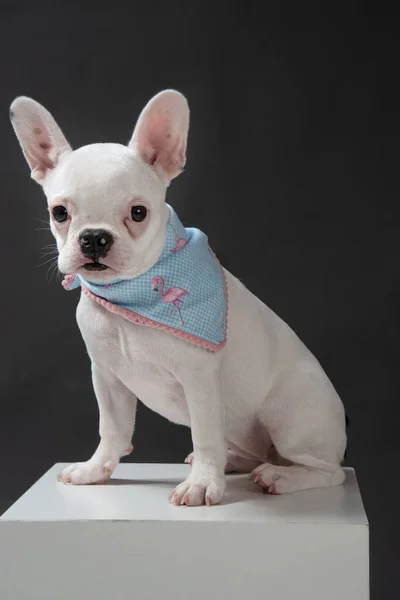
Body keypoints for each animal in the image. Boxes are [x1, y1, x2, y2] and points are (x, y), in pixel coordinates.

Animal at [9, 91, 346, 506]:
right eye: (59, 213)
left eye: (138, 212)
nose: (94, 238)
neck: (130, 298)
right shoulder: (106, 376)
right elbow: (112, 429)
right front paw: (95, 469)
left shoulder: (200, 381)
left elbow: (205, 435)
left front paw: (202, 484)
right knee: (251, 451)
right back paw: (236, 461)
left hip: (291, 417)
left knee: (326, 471)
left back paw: (280, 476)